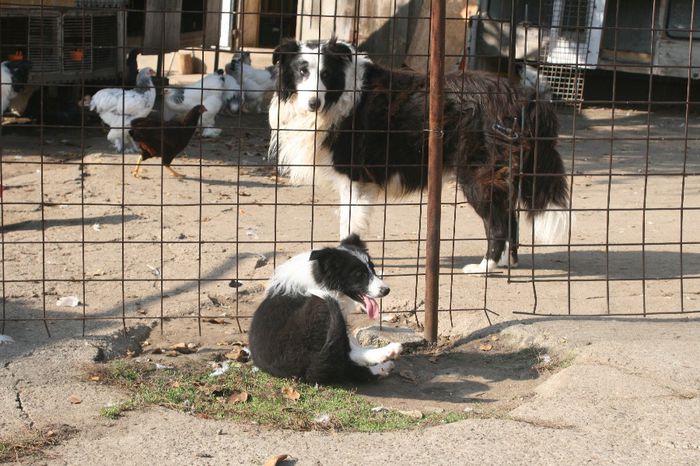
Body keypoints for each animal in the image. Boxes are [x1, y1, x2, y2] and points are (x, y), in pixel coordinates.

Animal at [249, 235, 402, 384]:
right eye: (359, 274)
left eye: (372, 269)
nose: (386, 290)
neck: (318, 277)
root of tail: (310, 367)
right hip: (320, 307)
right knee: (346, 356)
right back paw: (388, 354)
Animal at [270, 39, 572, 276]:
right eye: (302, 71)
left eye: (326, 74)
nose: (314, 103)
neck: (341, 93)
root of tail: (525, 96)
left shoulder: (354, 178)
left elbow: (348, 224)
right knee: (510, 219)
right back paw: (508, 263)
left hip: (477, 176)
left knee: (497, 224)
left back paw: (485, 267)